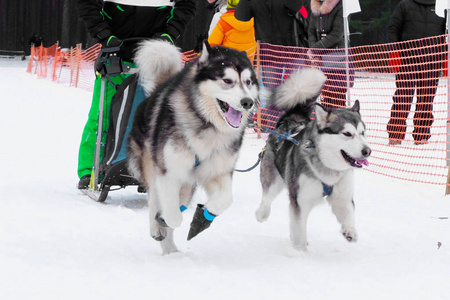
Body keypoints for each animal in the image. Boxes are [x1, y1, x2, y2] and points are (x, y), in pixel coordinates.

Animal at [128, 39, 258, 254]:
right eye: (227, 81)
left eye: (248, 82)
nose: (248, 102)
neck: (206, 124)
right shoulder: (169, 173)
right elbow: (173, 216)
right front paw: (163, 220)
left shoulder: (218, 172)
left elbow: (225, 199)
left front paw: (203, 217)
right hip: (152, 166)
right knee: (155, 199)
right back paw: (158, 230)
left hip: (187, 185)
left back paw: (171, 252)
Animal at [258, 67, 370, 251]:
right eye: (347, 133)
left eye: (362, 133)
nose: (367, 151)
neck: (328, 169)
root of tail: (290, 120)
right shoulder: (300, 201)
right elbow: (299, 230)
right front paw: (300, 252)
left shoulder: (342, 196)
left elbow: (348, 214)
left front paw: (350, 231)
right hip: (273, 179)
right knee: (267, 198)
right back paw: (261, 214)